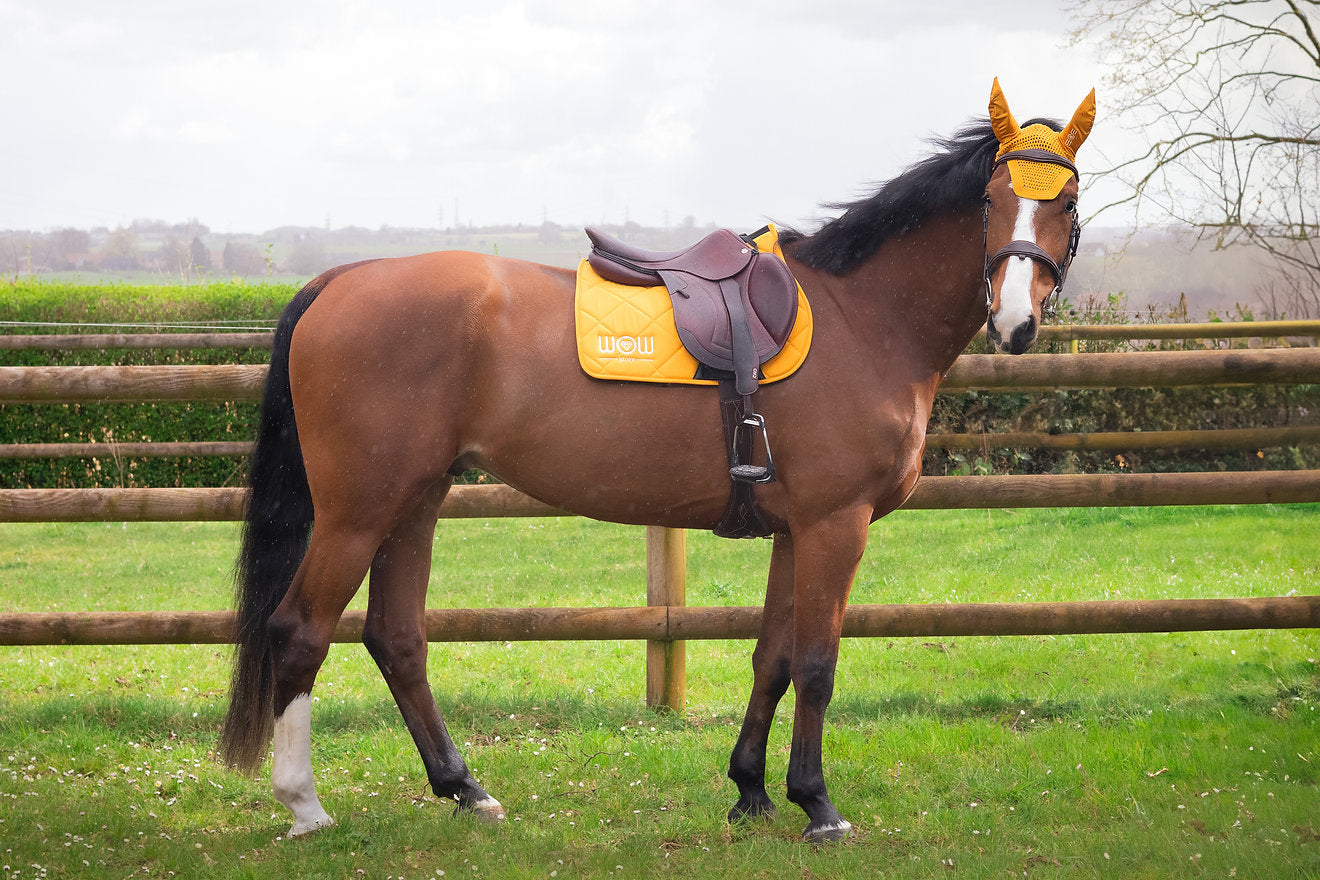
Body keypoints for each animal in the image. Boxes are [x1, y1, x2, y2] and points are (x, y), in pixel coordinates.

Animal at [219, 79, 1096, 843]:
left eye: (1066, 201)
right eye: (990, 200)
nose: (1015, 322)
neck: (863, 316)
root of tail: (339, 281)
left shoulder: (796, 531)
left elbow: (772, 657)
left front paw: (751, 791)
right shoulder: (835, 525)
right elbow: (817, 663)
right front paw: (817, 805)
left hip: (416, 501)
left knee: (397, 639)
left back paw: (465, 788)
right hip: (357, 511)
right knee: (299, 630)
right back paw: (305, 805)